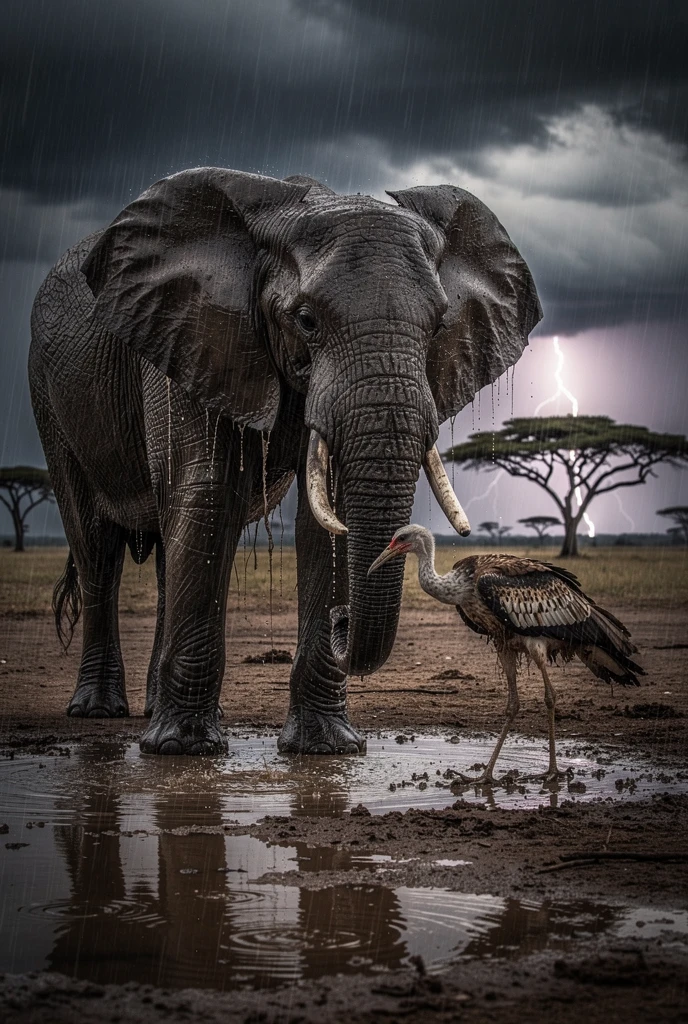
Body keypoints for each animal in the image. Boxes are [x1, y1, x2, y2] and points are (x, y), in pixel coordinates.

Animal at [29, 167, 541, 756]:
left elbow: (327, 516)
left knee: (161, 551)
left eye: (438, 326)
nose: (344, 621)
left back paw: (154, 710)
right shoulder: (192, 334)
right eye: (306, 320)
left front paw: (327, 748)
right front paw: (184, 749)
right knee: (95, 545)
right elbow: (207, 496)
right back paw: (100, 711)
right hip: (48, 395)